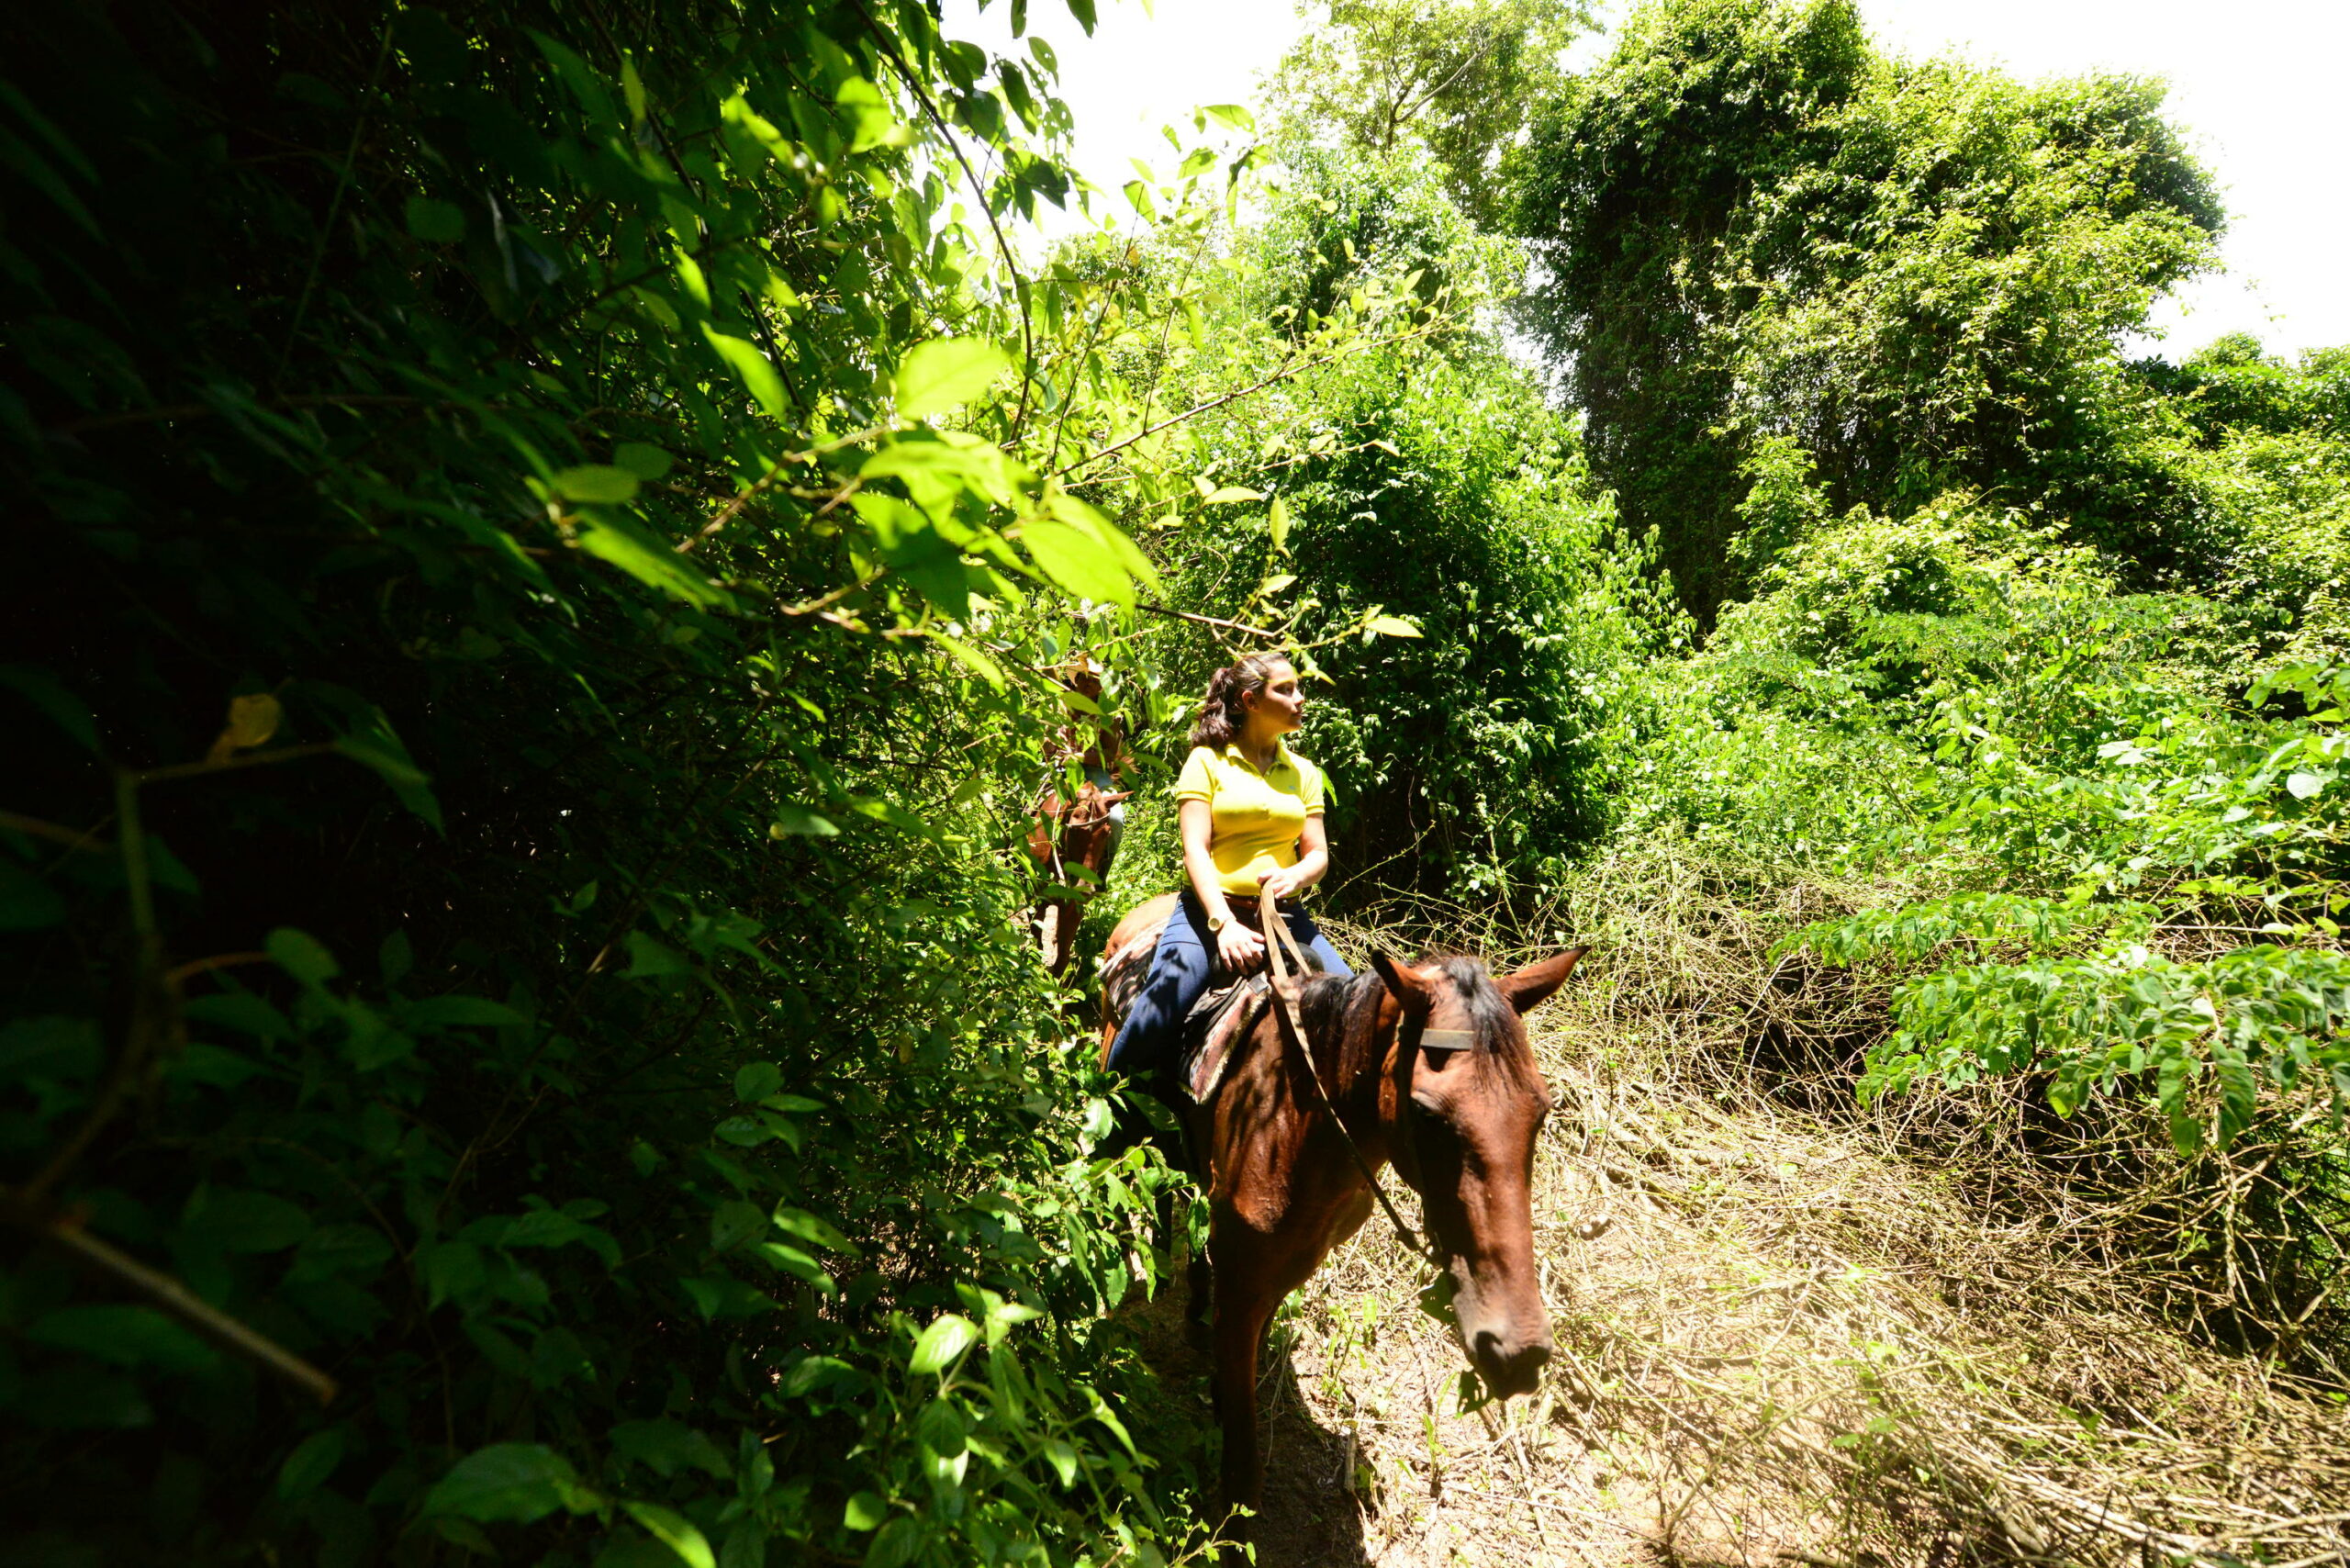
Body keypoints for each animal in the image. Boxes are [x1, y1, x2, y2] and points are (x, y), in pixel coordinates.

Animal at [1094, 893, 1579, 1532]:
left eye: (1541, 1111)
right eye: (1427, 1114)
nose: (1518, 1351)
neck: (1296, 1125)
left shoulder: (1286, 1263)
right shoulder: (1246, 1276)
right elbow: (1244, 1474)